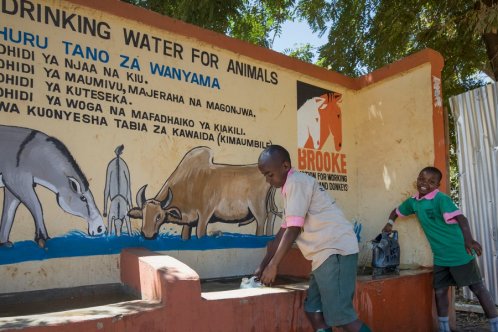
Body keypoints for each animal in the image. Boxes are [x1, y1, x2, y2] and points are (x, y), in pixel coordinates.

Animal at [128, 147, 280, 240]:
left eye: (159, 216)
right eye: (143, 215)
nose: (147, 235)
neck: (188, 183)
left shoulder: (205, 215)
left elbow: (200, 234)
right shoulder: (188, 221)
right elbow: (184, 235)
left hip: (257, 208)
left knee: (262, 220)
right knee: (272, 216)